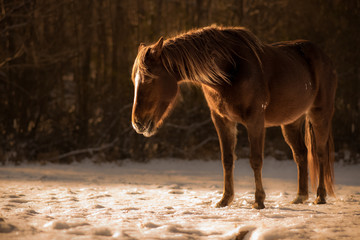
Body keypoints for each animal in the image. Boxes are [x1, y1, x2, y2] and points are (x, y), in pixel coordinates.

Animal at [130, 26, 338, 209]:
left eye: (150, 79)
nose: (138, 123)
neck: (229, 70)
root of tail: (326, 59)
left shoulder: (255, 121)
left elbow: (255, 160)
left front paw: (259, 201)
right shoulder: (222, 120)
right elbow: (227, 159)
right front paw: (225, 200)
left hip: (320, 114)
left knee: (319, 153)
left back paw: (320, 196)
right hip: (291, 122)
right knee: (301, 154)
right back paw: (300, 197)